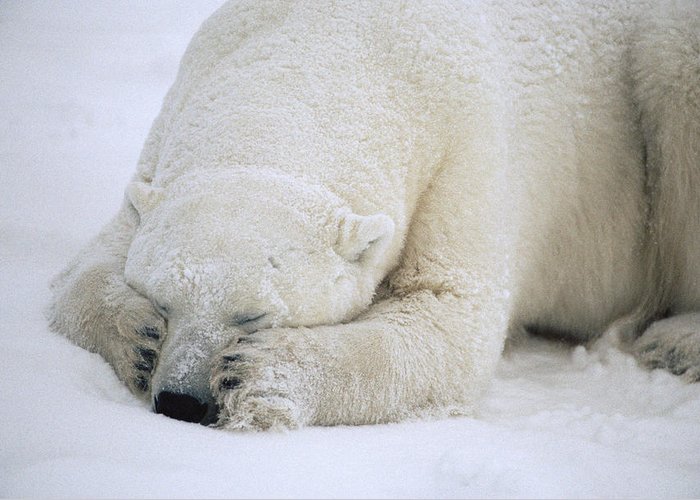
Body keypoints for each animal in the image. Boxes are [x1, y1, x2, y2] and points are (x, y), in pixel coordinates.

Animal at [49, 0, 700, 430]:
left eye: (253, 316)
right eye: (162, 299)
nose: (181, 402)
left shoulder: (467, 152)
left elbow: (449, 318)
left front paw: (257, 376)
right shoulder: (173, 122)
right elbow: (91, 260)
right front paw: (135, 337)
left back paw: (674, 341)